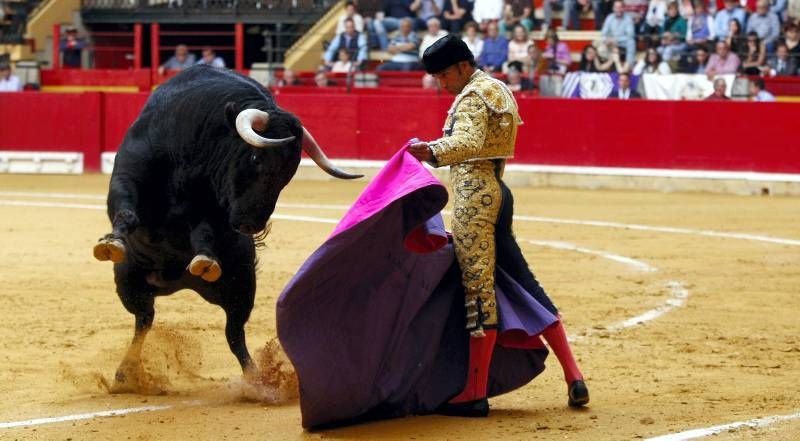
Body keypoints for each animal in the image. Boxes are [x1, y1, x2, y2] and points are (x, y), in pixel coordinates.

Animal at [90, 66, 360, 388]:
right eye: (255, 157)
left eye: (290, 173)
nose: (250, 224)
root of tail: (176, 283)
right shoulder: (127, 176)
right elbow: (126, 211)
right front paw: (112, 242)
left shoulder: (214, 212)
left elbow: (204, 231)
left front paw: (206, 260)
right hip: (129, 282)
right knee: (144, 320)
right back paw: (125, 374)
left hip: (241, 286)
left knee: (233, 333)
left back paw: (256, 383)